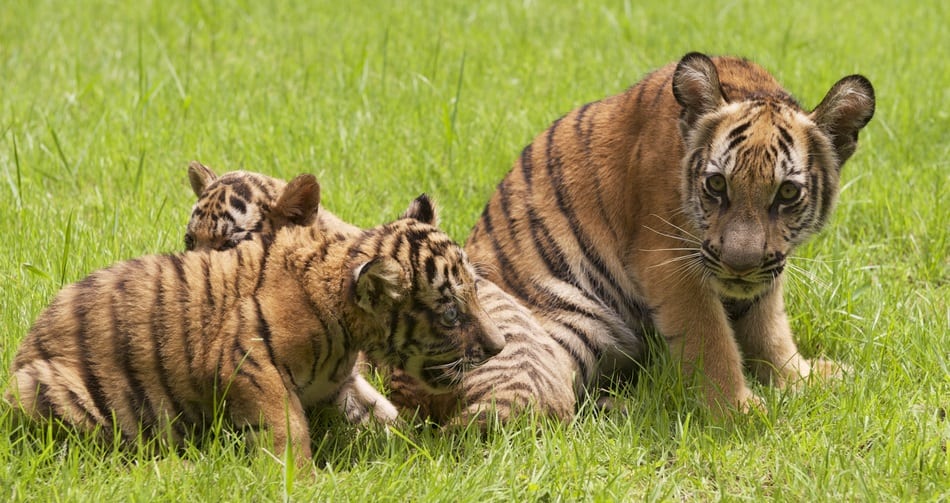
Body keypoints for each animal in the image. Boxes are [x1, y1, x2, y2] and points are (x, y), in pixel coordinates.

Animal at [4, 174, 506, 466]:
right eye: (450, 313)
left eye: (475, 291)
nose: (498, 347)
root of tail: (25, 347)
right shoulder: (248, 363)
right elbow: (288, 428)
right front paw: (301, 483)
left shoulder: (340, 386)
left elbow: (384, 416)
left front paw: (419, 450)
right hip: (45, 391)